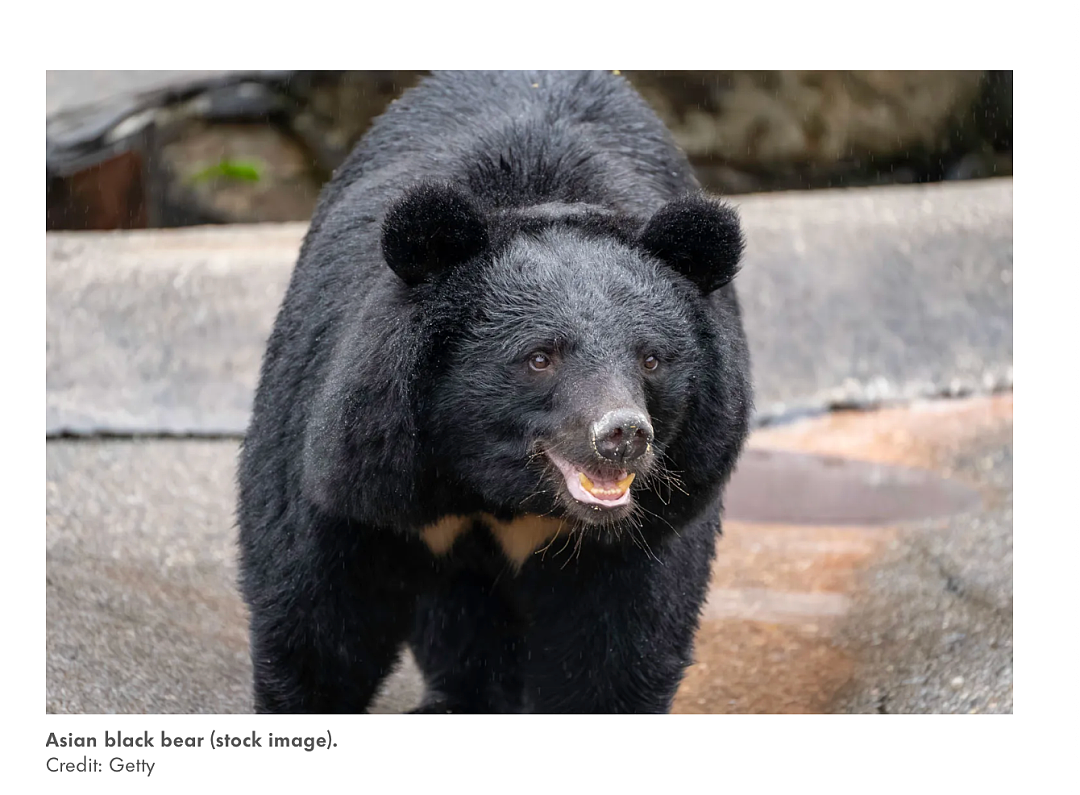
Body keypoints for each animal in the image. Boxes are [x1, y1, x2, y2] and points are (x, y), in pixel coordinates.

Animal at [237, 70, 752, 714]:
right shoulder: (361, 456)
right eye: (540, 358)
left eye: (651, 358)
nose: (623, 434)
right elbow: (317, 603)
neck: (498, 486)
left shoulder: (656, 513)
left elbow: (620, 642)